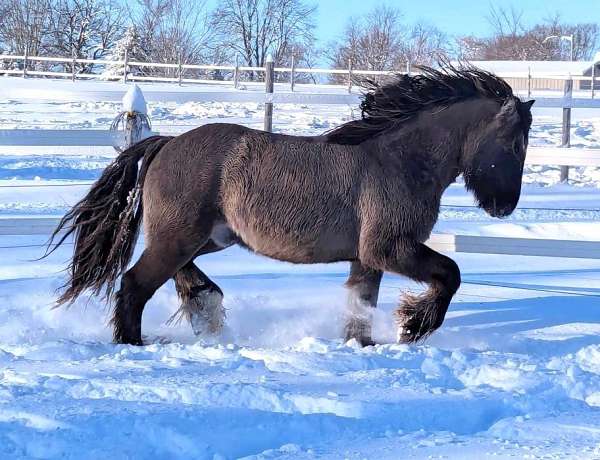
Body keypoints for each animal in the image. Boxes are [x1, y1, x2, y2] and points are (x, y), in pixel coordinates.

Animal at [47, 64, 536, 344]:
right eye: (515, 145)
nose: (504, 206)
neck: (399, 160)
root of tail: (165, 143)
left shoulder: (367, 257)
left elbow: (359, 309)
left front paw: (365, 343)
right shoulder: (389, 248)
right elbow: (450, 273)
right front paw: (414, 325)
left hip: (209, 237)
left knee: (175, 275)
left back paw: (207, 307)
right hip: (180, 237)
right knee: (134, 285)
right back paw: (137, 343)